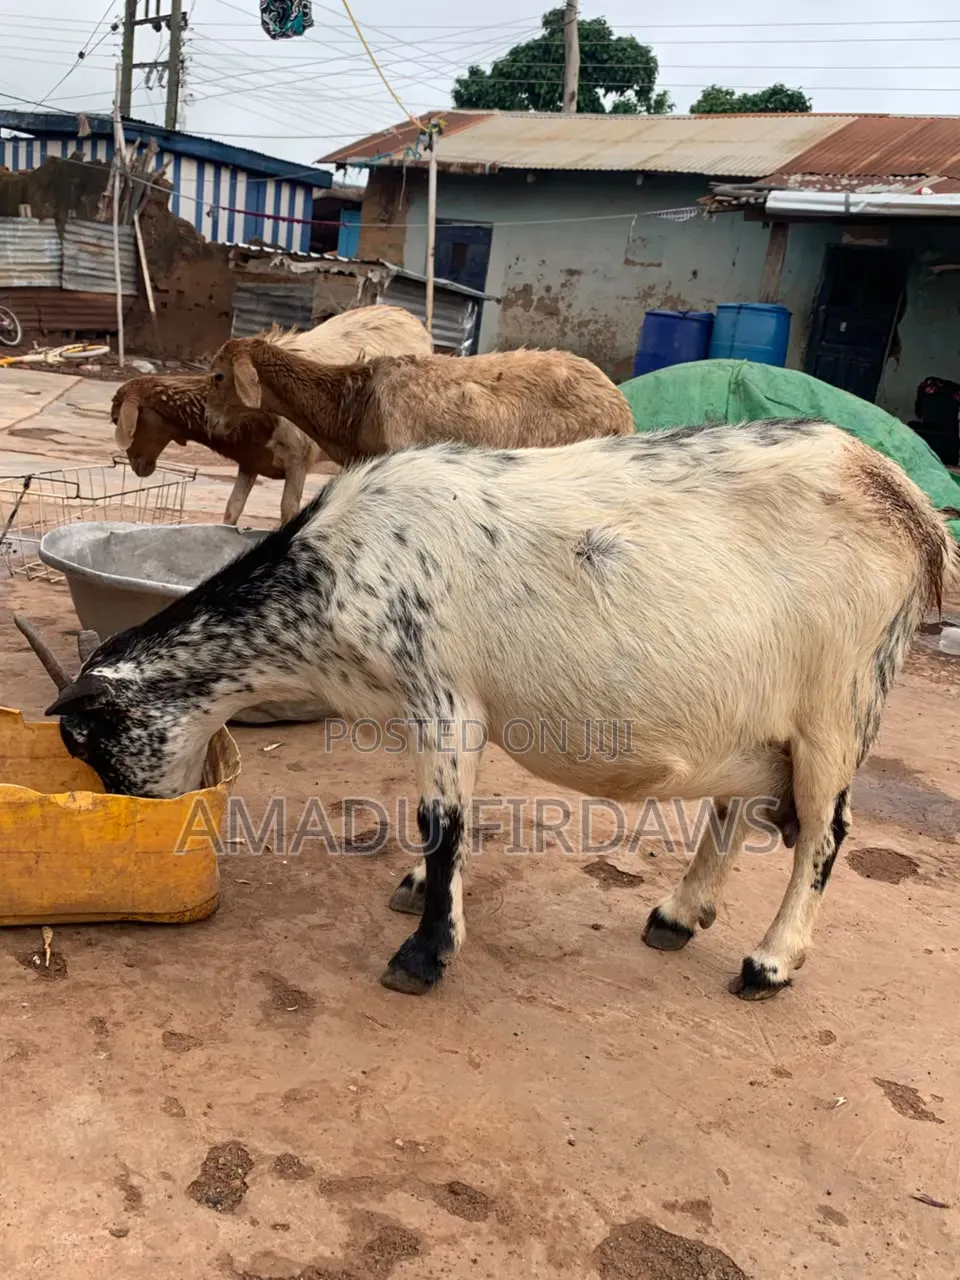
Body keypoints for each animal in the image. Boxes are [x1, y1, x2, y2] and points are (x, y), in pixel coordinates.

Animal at [20, 420, 956, 1004]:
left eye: (89, 738)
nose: (139, 812)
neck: (332, 575)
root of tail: (909, 506)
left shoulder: (443, 692)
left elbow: (443, 820)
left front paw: (423, 956)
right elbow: (448, 821)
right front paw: (413, 893)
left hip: (842, 697)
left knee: (826, 832)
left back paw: (769, 962)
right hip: (754, 705)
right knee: (732, 811)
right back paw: (677, 915)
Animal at [111, 305, 434, 525]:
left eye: (120, 420)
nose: (137, 466)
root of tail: (406, 314)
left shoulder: (297, 461)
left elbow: (288, 511)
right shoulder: (250, 461)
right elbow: (231, 510)